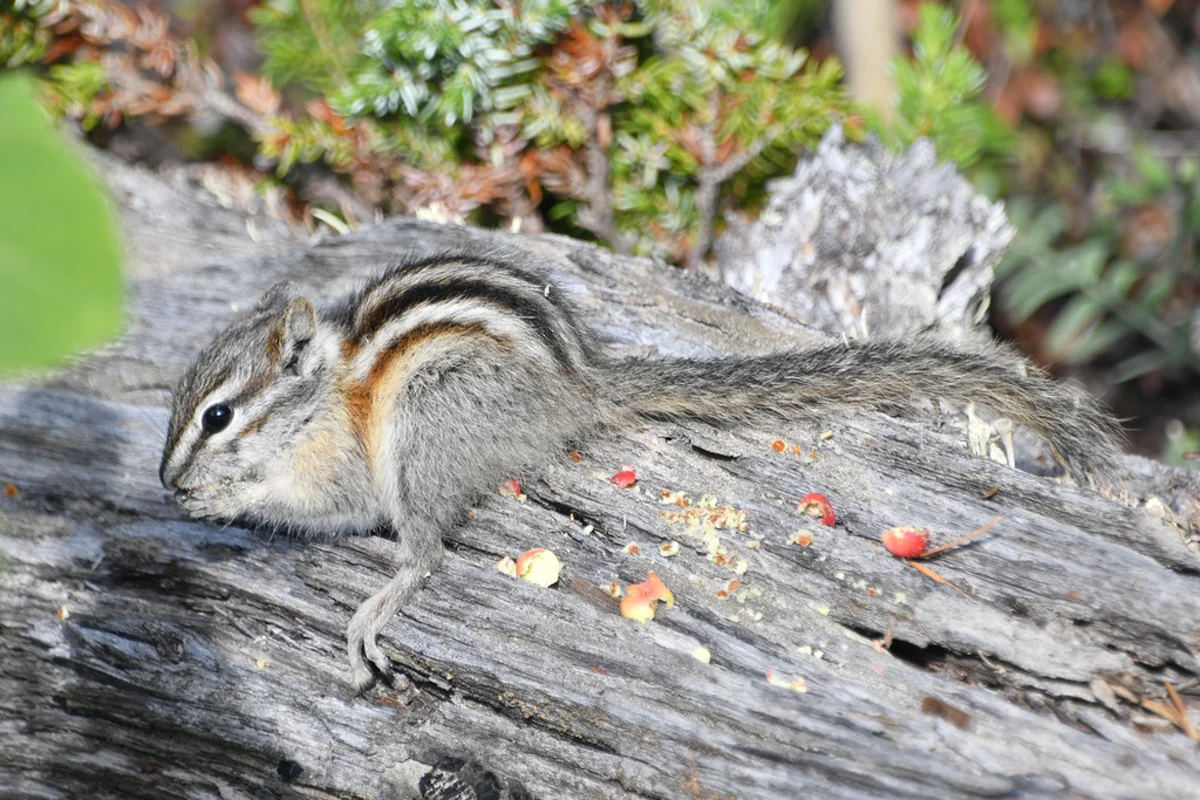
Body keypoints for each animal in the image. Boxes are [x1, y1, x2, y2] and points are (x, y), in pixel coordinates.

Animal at [159, 249, 1123, 690]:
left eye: (218, 417)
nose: (167, 482)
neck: (322, 395)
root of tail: (577, 387)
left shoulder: (347, 469)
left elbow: (327, 503)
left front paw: (224, 501)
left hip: (428, 426)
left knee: (425, 552)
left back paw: (377, 605)